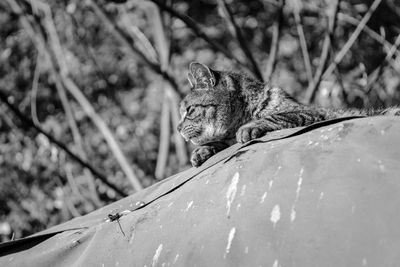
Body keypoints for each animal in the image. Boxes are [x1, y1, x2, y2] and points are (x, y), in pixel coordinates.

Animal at [178, 62, 400, 168]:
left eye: (189, 110)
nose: (178, 128)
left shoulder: (315, 112)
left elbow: (277, 116)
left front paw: (249, 127)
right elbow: (220, 141)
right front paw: (203, 150)